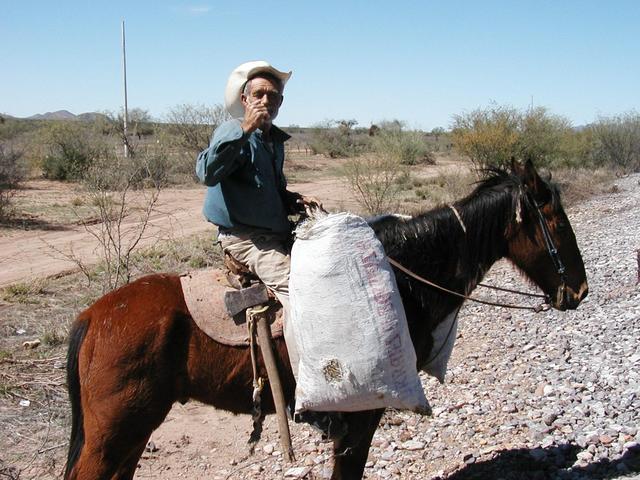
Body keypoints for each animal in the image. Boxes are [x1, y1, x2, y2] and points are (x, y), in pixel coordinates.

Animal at [62, 159, 588, 478]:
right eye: (556, 222)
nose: (579, 291)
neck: (405, 275)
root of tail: (91, 316)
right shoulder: (363, 411)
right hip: (115, 430)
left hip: (132, 432)